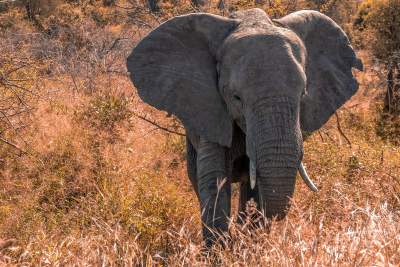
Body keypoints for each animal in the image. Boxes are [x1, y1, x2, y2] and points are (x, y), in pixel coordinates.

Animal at [127, 8, 362, 247]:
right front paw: (220, 250)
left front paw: (249, 245)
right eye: (236, 97)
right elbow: (215, 177)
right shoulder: (210, 109)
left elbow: (256, 184)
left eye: (303, 94)